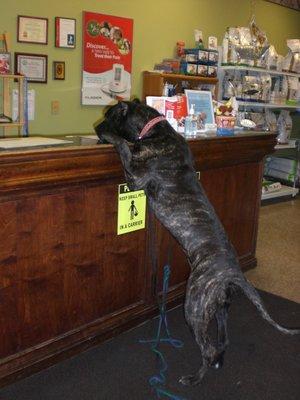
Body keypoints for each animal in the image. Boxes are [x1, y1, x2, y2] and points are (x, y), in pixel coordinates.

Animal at [95, 100, 300, 388]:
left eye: (109, 115)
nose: (96, 129)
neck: (155, 130)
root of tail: (234, 273)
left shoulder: (135, 175)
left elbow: (123, 144)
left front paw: (110, 136)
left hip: (194, 305)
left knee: (208, 347)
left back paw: (193, 378)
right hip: (220, 308)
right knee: (223, 339)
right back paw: (218, 361)